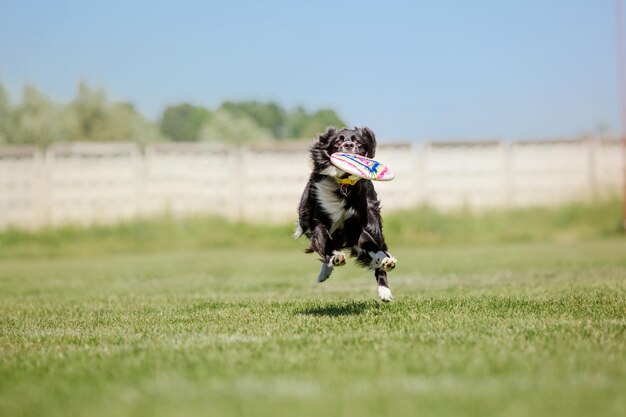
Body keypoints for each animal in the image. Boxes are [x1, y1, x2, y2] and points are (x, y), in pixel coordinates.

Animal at [292, 125, 394, 300]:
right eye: (337, 142)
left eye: (358, 142)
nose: (348, 145)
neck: (343, 185)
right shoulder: (318, 221)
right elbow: (325, 240)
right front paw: (335, 256)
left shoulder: (356, 226)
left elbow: (373, 246)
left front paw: (385, 260)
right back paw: (327, 269)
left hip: (374, 221)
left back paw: (385, 289)